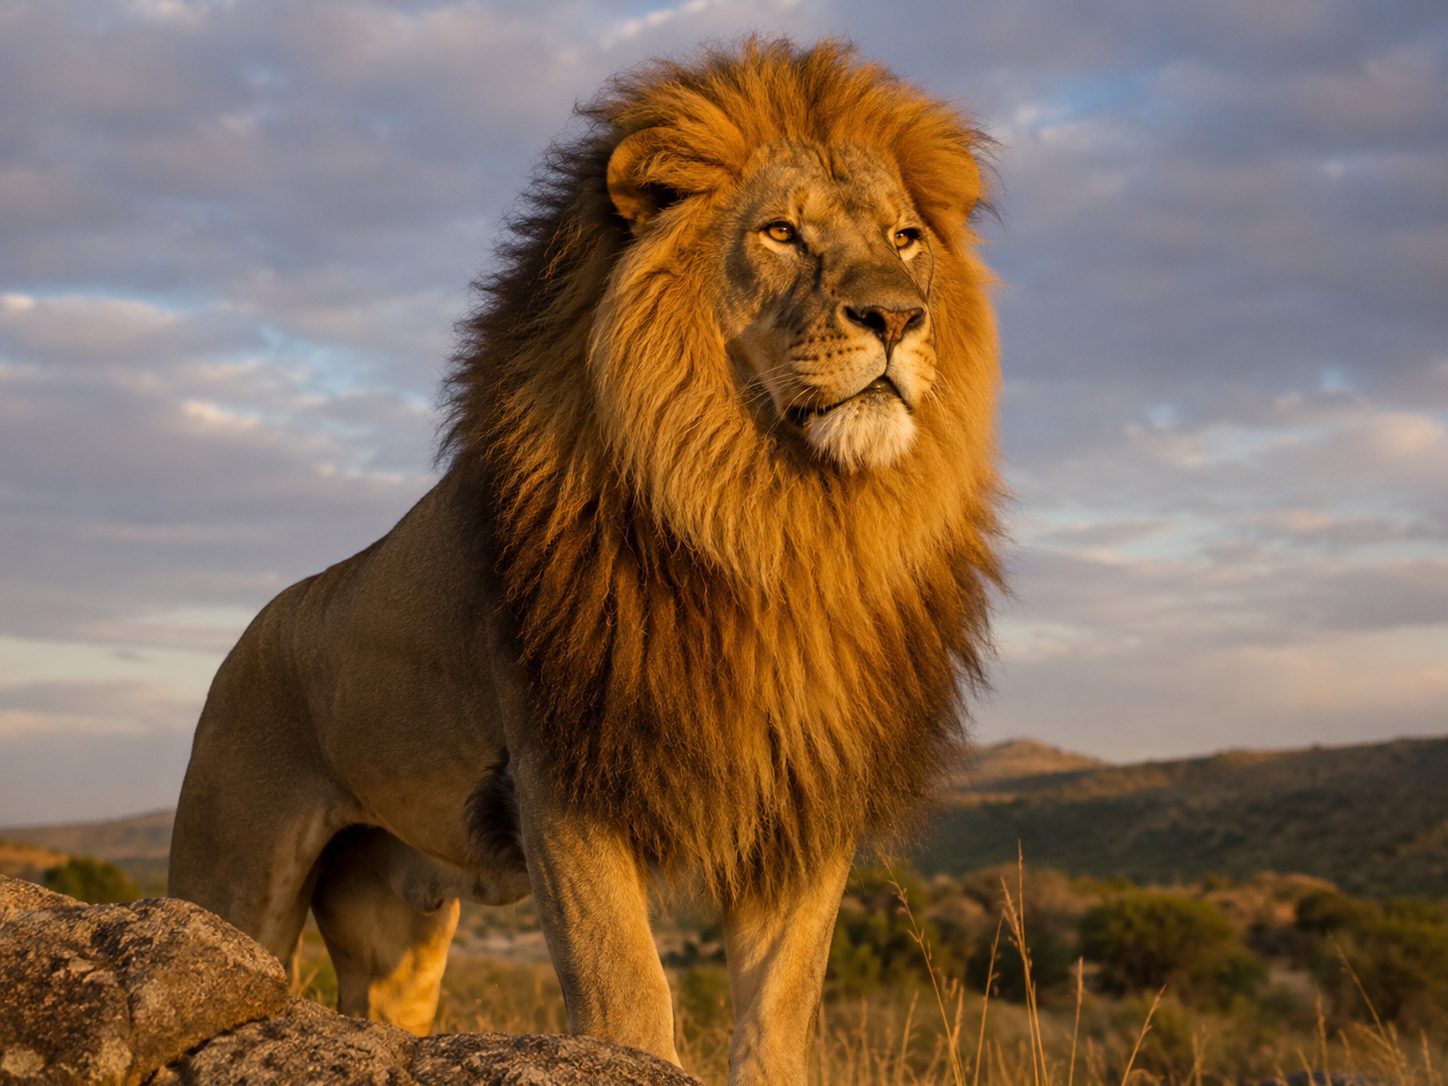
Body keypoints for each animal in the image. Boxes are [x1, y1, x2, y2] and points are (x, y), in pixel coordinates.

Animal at [169, 39, 1003, 1084]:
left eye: (905, 238)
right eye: (780, 232)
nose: (897, 317)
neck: (775, 521)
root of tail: (259, 624)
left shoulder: (802, 795)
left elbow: (780, 1008)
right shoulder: (562, 773)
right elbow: (627, 994)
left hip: (398, 926)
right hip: (231, 878)